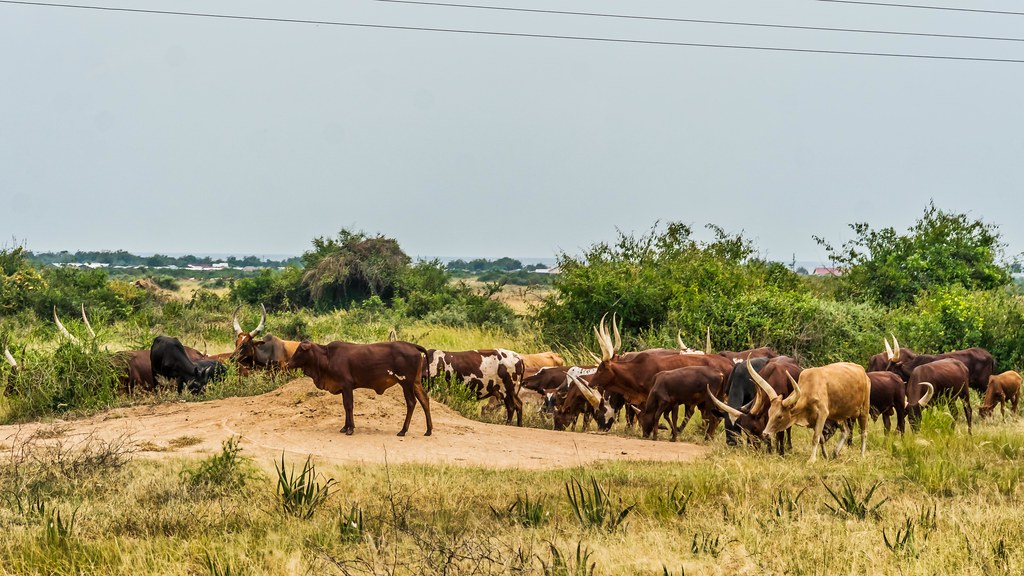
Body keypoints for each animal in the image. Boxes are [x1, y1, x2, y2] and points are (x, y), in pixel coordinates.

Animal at [286, 340, 432, 436]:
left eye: (300, 350)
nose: (288, 364)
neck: (327, 357)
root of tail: (412, 346)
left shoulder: (347, 385)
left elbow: (349, 406)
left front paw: (350, 429)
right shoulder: (343, 388)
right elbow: (345, 406)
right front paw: (345, 427)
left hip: (406, 383)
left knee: (411, 403)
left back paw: (403, 430)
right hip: (416, 383)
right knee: (425, 400)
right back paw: (428, 430)